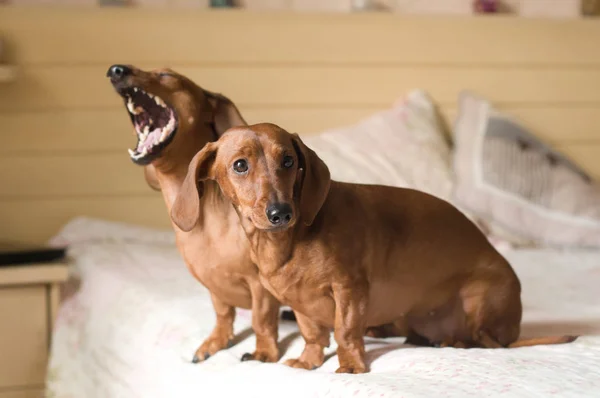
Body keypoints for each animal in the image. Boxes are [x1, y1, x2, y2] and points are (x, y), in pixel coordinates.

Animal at [168, 123, 576, 374]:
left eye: (288, 160)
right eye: (240, 165)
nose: (281, 212)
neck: (289, 242)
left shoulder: (350, 290)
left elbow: (346, 330)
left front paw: (350, 365)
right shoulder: (298, 302)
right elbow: (313, 334)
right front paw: (308, 360)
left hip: (481, 299)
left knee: (490, 343)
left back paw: (457, 342)